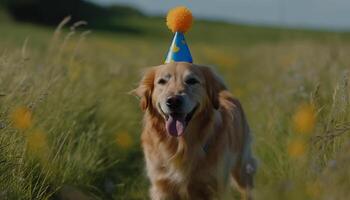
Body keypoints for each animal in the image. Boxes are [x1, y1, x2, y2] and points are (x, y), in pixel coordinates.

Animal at [133, 61, 256, 199]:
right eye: (162, 81)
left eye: (191, 81)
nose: (173, 101)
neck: (181, 146)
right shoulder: (162, 186)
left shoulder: (213, 186)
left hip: (242, 168)